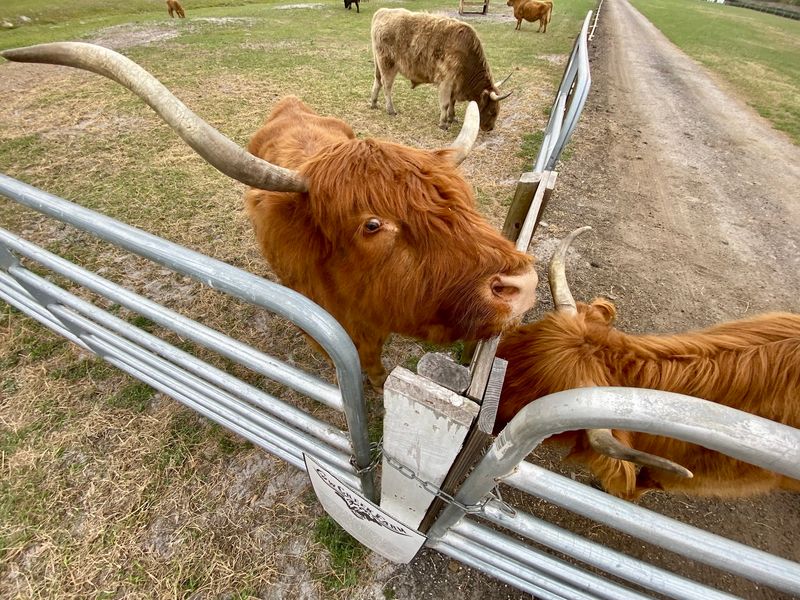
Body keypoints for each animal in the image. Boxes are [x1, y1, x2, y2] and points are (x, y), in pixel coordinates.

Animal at [370, 8, 512, 131]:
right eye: (492, 111)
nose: (490, 128)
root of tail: (382, 12)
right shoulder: (446, 81)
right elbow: (445, 103)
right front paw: (443, 123)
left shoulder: (455, 85)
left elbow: (452, 102)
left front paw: (452, 117)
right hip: (388, 65)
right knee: (387, 86)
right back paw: (390, 110)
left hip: (378, 64)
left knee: (377, 81)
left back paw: (374, 103)